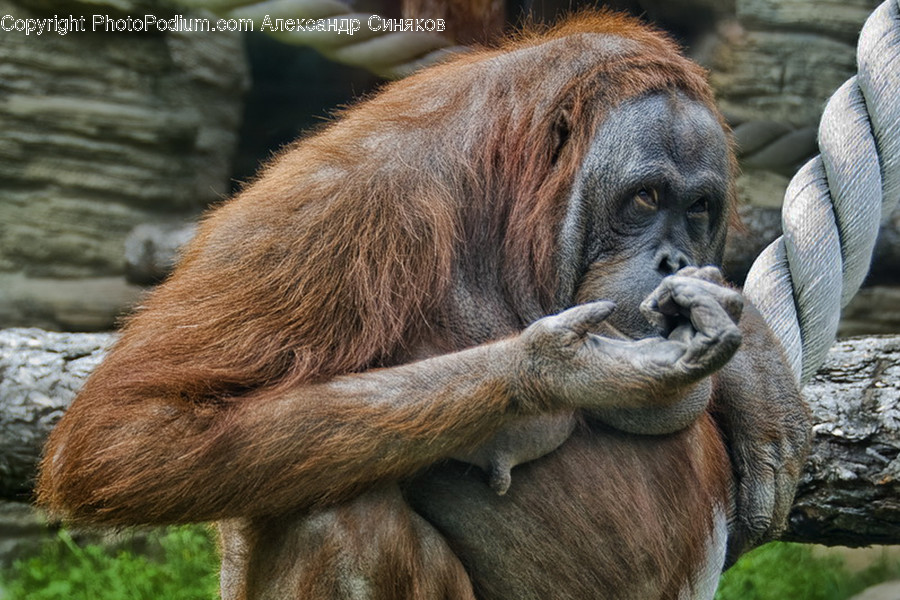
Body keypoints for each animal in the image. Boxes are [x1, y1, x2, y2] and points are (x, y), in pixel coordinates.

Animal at [37, 11, 811, 600]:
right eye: (646, 198)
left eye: (698, 208)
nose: (675, 259)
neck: (507, 212)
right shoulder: (350, 197)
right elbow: (129, 431)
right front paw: (550, 370)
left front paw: (756, 369)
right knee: (334, 517)